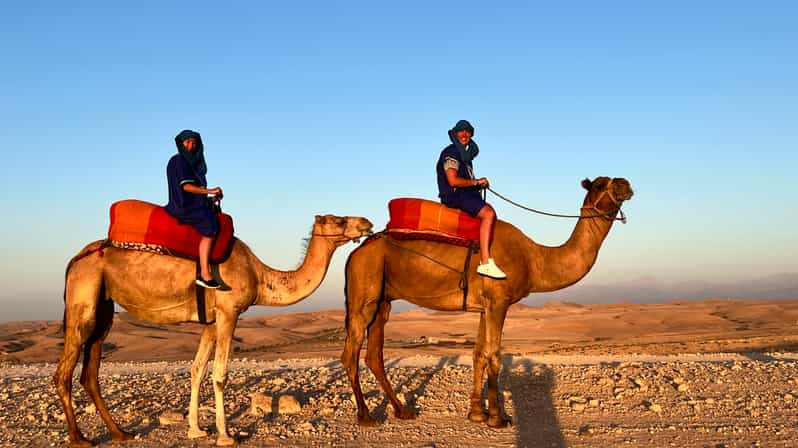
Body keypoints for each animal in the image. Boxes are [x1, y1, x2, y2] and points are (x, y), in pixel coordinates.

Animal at [56, 214, 376, 444]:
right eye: (339, 220)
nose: (366, 222)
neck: (260, 276)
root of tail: (74, 259)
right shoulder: (228, 313)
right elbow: (220, 374)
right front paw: (225, 435)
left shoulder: (210, 321)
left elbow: (197, 369)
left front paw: (196, 430)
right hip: (84, 296)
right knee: (64, 371)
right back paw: (79, 438)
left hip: (104, 306)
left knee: (90, 371)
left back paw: (120, 433)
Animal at [344, 176, 636, 428]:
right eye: (599, 184)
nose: (626, 183)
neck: (534, 259)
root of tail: (357, 251)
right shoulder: (499, 301)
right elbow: (494, 355)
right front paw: (498, 417)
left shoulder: (486, 306)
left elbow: (478, 355)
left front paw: (476, 412)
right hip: (364, 290)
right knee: (350, 354)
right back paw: (365, 416)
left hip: (383, 300)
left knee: (374, 355)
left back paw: (402, 410)